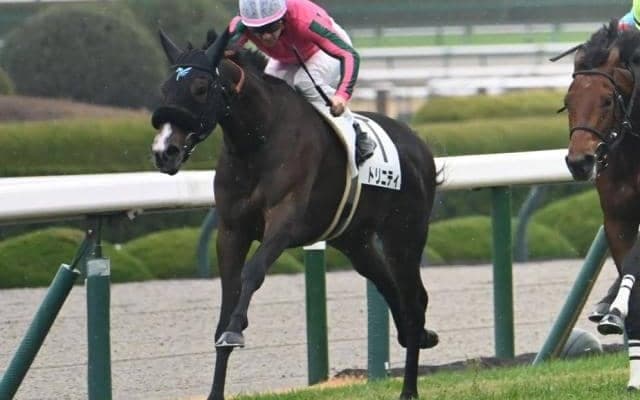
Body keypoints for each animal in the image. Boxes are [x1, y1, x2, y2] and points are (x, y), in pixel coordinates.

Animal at [150, 28, 440, 400]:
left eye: (200, 88)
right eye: (164, 89)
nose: (164, 152)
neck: (258, 140)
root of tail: (417, 143)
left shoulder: (284, 221)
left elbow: (253, 272)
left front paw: (236, 329)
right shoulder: (231, 230)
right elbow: (228, 297)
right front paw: (216, 386)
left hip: (404, 234)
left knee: (413, 299)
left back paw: (409, 388)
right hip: (355, 240)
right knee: (390, 288)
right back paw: (417, 338)